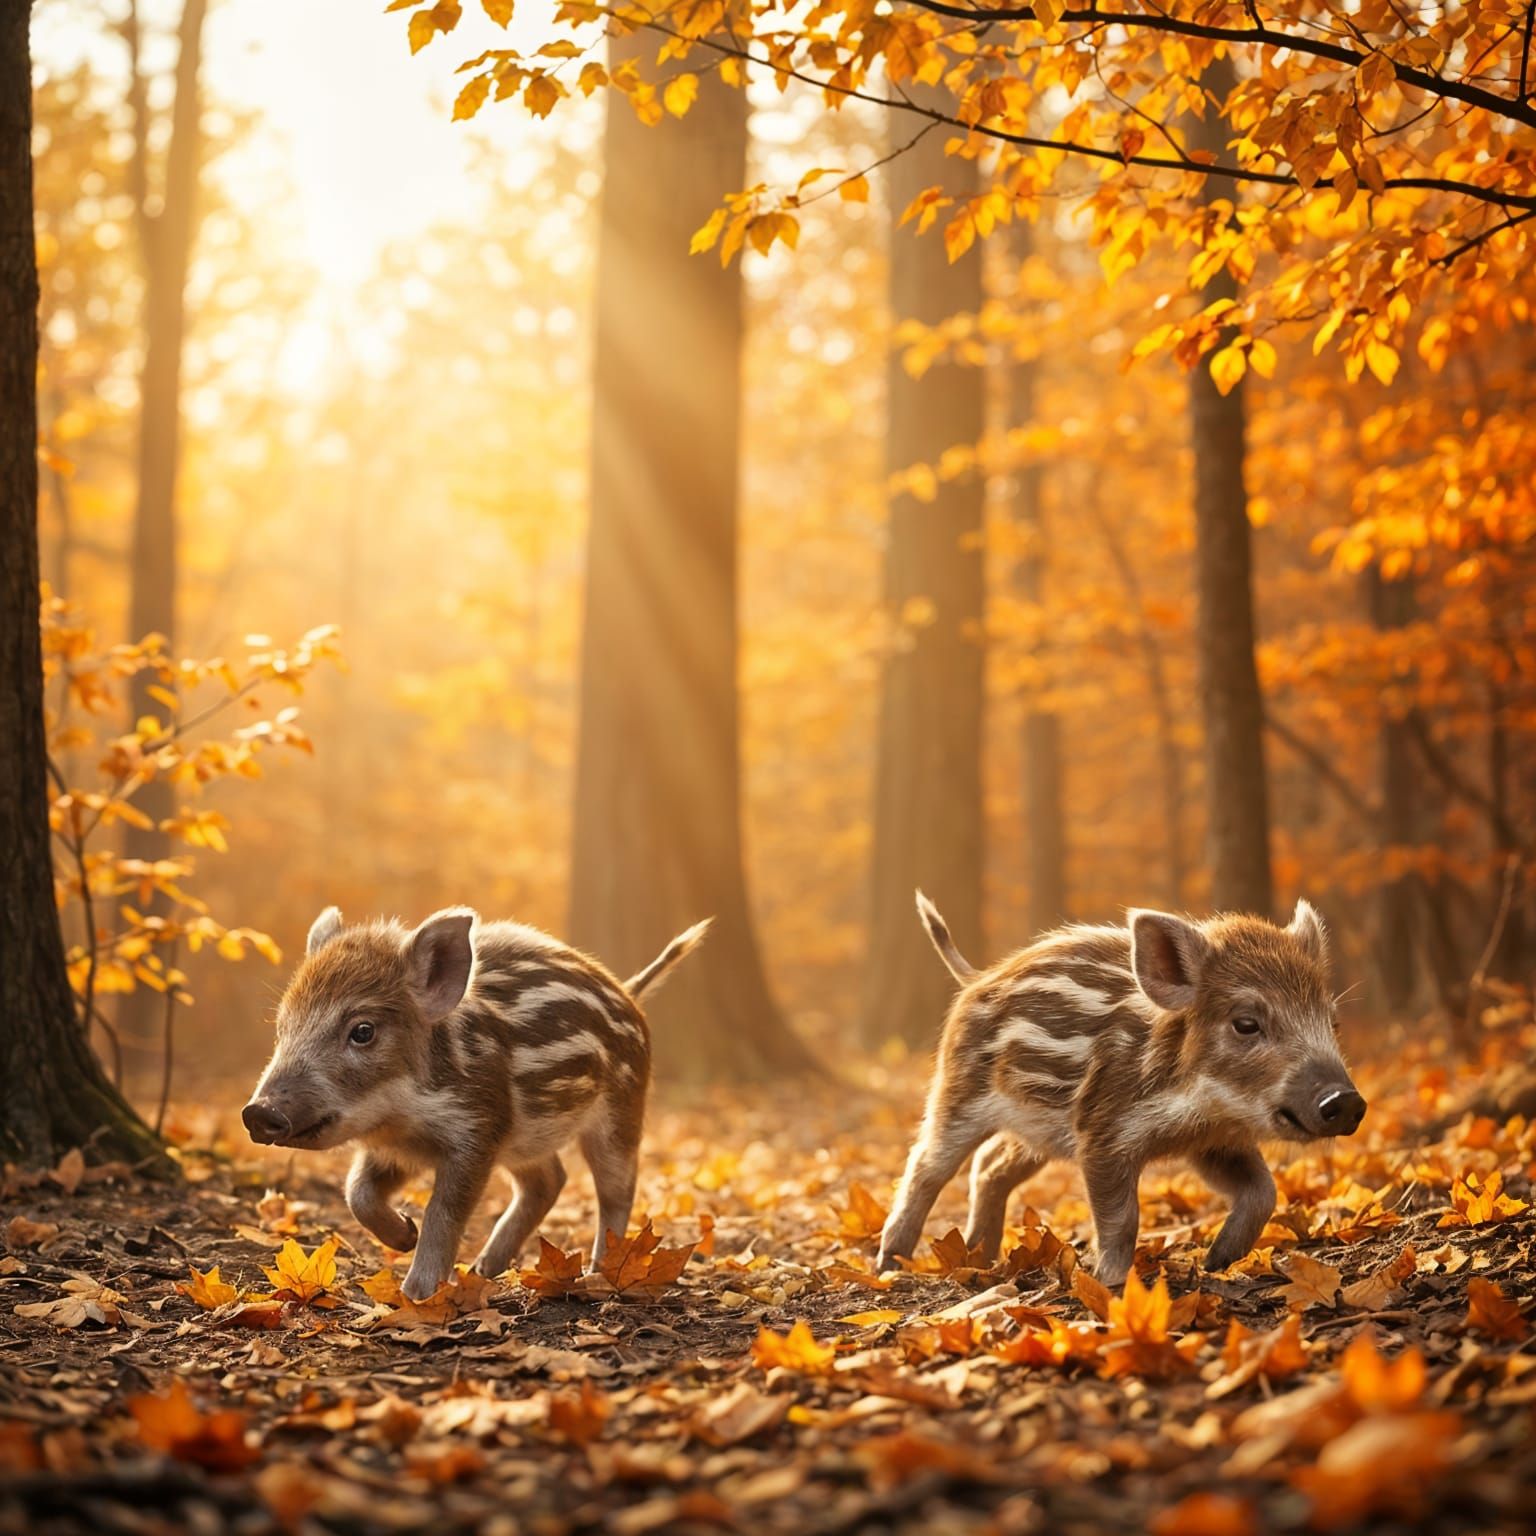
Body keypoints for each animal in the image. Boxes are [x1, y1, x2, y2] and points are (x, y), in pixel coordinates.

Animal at [243, 906, 709, 1300]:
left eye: (363, 1031)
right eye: (283, 1027)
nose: (258, 1111)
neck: (402, 1117)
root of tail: (627, 993)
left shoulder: (477, 1128)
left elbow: (444, 1212)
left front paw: (416, 1294)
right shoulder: (397, 1149)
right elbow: (357, 1193)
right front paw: (406, 1236)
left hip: (621, 1112)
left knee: (617, 1190)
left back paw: (599, 1275)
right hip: (525, 1140)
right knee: (550, 1180)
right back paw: (486, 1269)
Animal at [877, 892, 1365, 1286]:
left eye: (1333, 1022)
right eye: (1246, 1023)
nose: (1347, 1101)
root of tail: (977, 978)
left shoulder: (1212, 1142)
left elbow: (1265, 1191)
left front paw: (1216, 1261)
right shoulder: (1103, 1132)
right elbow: (1122, 1218)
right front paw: (1109, 1282)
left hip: (1037, 1129)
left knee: (990, 1164)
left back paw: (981, 1257)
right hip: (957, 1092)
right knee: (926, 1165)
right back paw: (891, 1264)